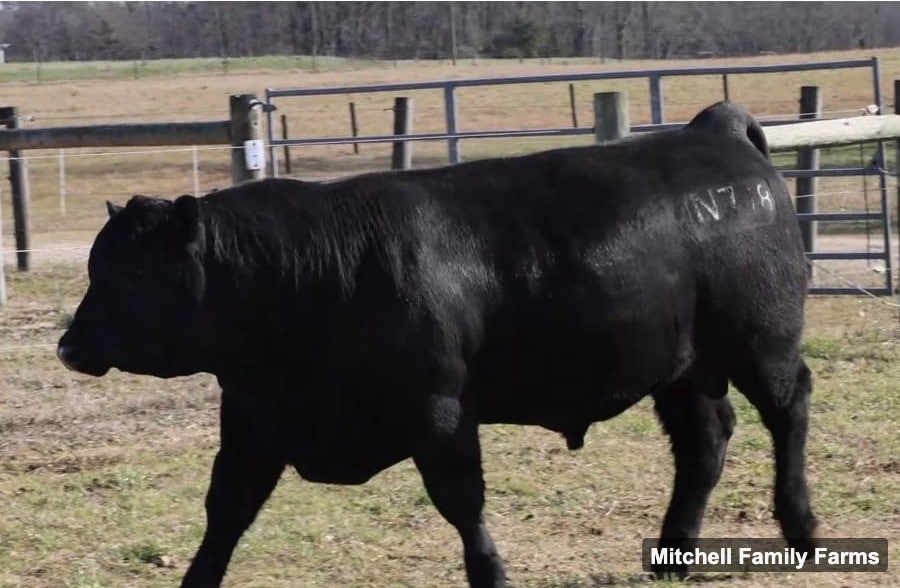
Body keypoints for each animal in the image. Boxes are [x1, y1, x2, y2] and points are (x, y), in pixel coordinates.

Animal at [57, 102, 820, 587]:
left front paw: (493, 575)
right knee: (704, 442)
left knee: (788, 413)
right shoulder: (252, 422)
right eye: (98, 267)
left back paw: (802, 528)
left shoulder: (441, 412)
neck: (309, 274)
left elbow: (462, 501)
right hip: (682, 368)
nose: (68, 347)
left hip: (763, 342)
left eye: (132, 274)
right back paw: (675, 552)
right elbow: (225, 513)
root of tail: (711, 132)